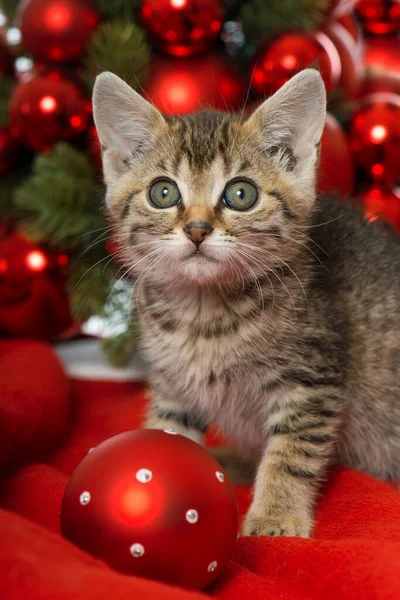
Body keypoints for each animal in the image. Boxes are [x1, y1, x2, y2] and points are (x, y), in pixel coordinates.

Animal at [94, 68, 400, 536]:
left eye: (241, 194)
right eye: (163, 193)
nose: (197, 229)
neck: (203, 316)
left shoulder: (312, 378)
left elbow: (290, 452)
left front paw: (276, 515)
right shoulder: (172, 384)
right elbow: (168, 431)